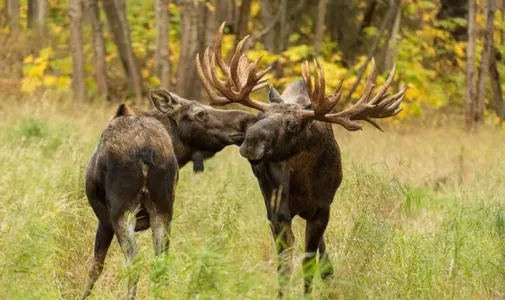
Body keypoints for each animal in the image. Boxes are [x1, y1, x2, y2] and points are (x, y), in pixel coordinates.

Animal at [83, 91, 258, 300]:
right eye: (201, 113)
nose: (247, 120)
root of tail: (146, 150)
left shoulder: (104, 219)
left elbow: (95, 267)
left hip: (122, 210)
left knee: (134, 261)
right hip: (163, 207)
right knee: (160, 260)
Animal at [197, 22, 406, 296]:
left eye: (293, 126)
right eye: (260, 115)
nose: (250, 141)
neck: (303, 182)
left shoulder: (322, 209)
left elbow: (309, 263)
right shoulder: (277, 211)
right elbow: (285, 264)